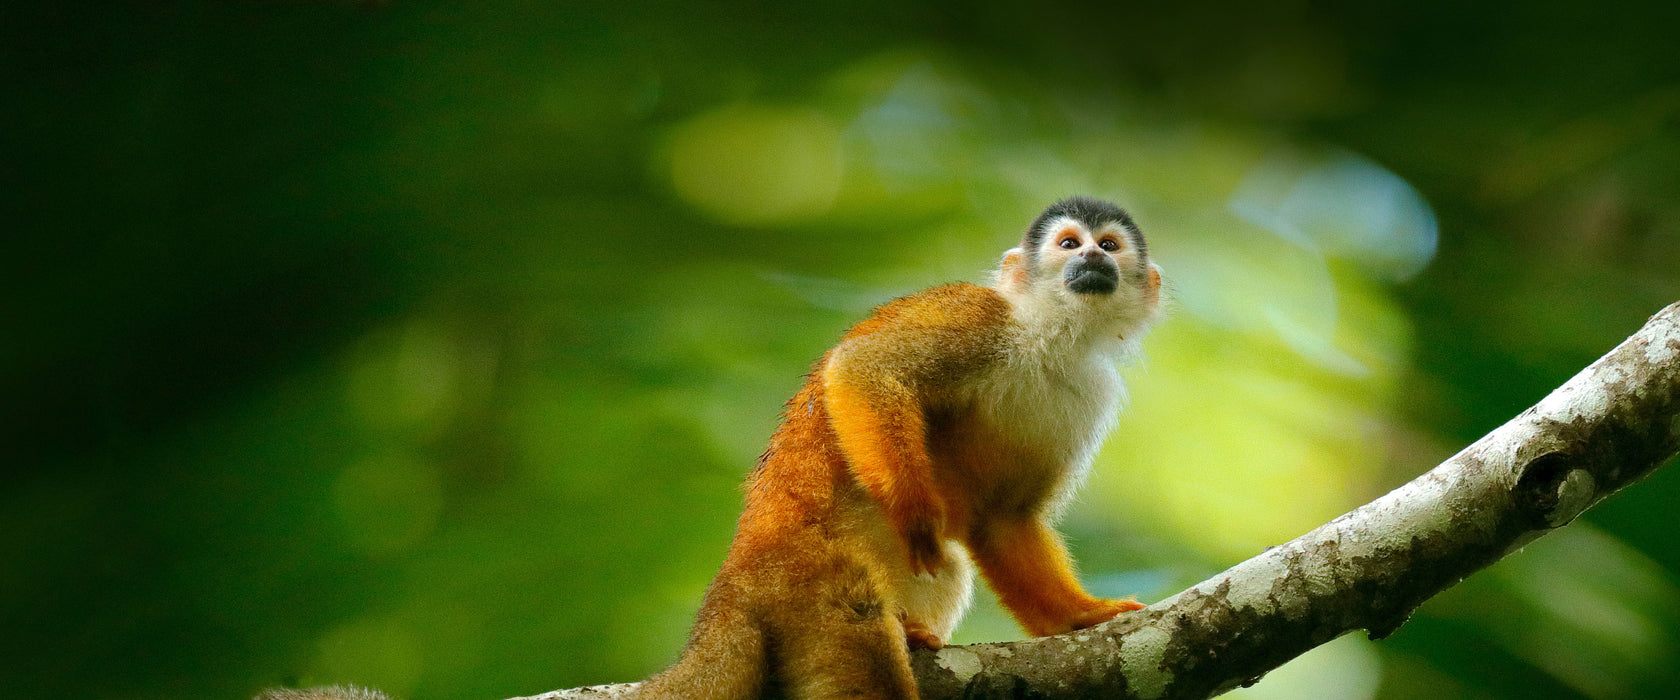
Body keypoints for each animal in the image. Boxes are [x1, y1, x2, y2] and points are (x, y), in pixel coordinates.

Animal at [635, 196, 1162, 698]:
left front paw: (1081, 616)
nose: (1093, 257)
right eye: (1069, 244)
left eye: (1109, 245)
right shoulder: (978, 315)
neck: (1050, 334)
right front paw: (915, 508)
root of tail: (737, 576)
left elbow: (1002, 518)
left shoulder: (1088, 395)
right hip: (806, 575)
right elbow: (863, 367)